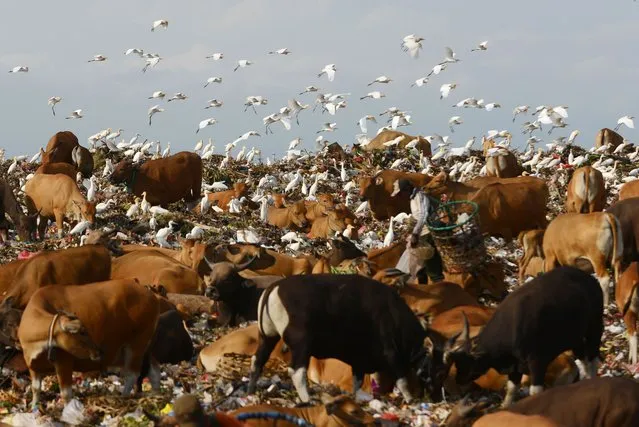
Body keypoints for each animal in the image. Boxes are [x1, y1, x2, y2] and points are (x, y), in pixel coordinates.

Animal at [16, 280, 161, 406]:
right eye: (82, 332)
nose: (98, 351)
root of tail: (151, 296)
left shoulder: (64, 362)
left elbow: (66, 394)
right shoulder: (33, 366)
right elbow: (35, 389)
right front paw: (34, 408)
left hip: (136, 345)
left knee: (132, 374)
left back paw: (124, 396)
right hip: (146, 348)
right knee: (154, 370)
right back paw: (156, 393)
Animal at [245, 274, 436, 404]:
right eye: (432, 367)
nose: (432, 393)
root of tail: (274, 287)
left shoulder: (359, 362)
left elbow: (357, 383)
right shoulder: (392, 354)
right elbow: (402, 380)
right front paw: (410, 399)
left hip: (267, 337)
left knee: (257, 362)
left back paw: (250, 391)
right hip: (301, 344)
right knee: (297, 372)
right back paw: (307, 399)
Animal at [440, 268, 604, 408]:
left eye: (467, 364)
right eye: (457, 364)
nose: (458, 380)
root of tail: (590, 279)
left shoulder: (538, 362)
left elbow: (535, 392)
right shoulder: (515, 365)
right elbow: (512, 389)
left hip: (595, 329)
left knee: (593, 358)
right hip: (575, 338)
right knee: (583, 358)